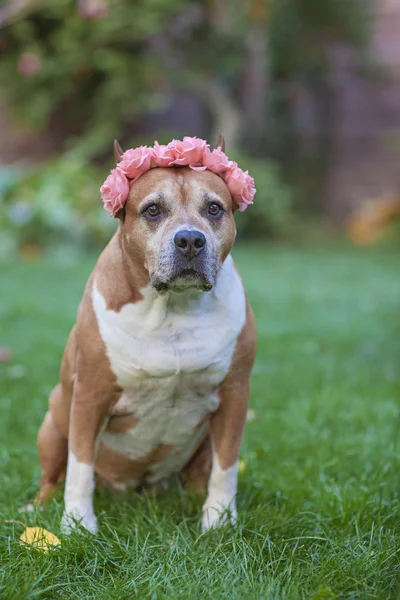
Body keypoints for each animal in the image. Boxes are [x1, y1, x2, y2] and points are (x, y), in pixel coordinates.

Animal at [33, 142, 256, 536]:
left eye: (214, 208)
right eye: (153, 209)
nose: (190, 239)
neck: (172, 309)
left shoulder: (234, 395)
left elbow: (227, 464)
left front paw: (218, 519)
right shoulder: (90, 395)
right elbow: (80, 465)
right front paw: (78, 524)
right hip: (52, 422)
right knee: (54, 475)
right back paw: (38, 507)